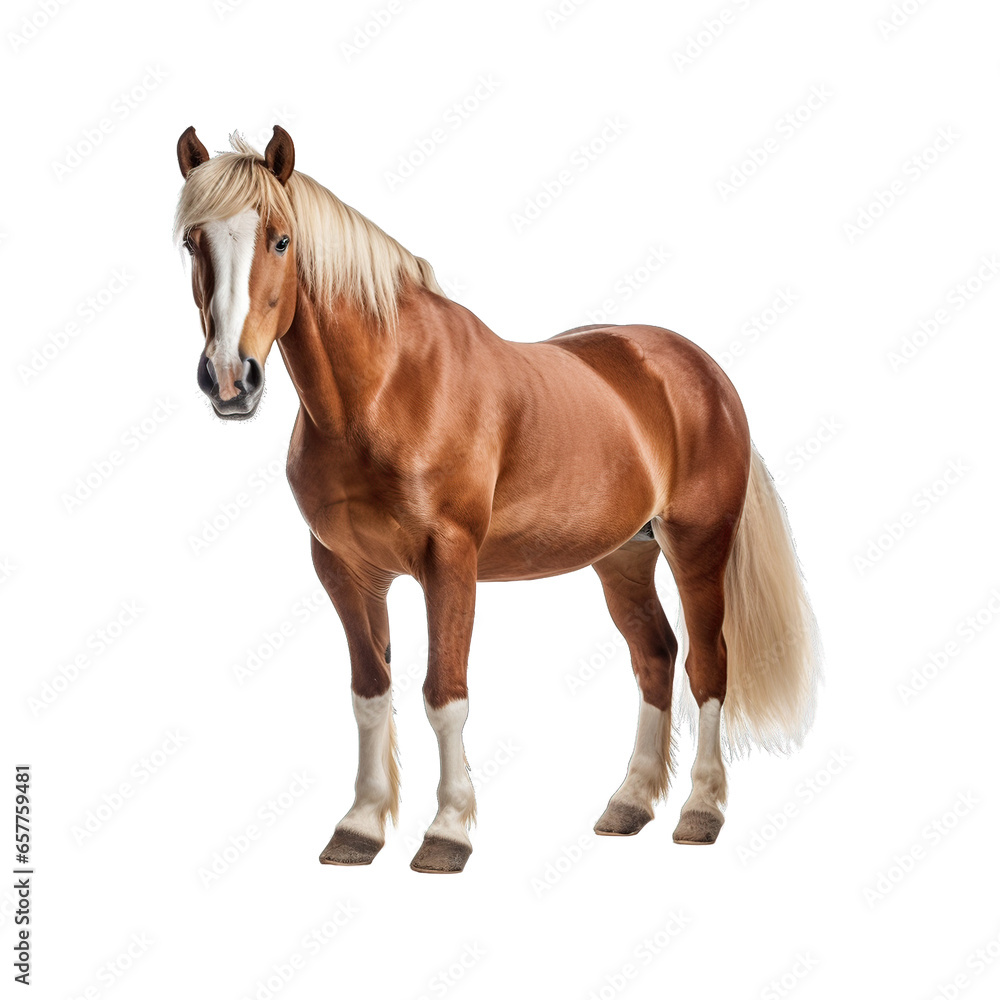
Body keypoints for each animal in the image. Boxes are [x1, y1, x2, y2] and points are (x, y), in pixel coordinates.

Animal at [173, 125, 820, 874]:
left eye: (280, 239)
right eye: (192, 241)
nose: (229, 379)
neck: (385, 391)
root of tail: (700, 369)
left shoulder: (449, 560)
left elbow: (443, 695)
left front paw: (447, 833)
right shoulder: (344, 568)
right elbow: (371, 693)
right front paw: (360, 827)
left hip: (697, 545)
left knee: (707, 664)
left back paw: (701, 811)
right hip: (624, 556)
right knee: (654, 657)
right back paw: (628, 804)